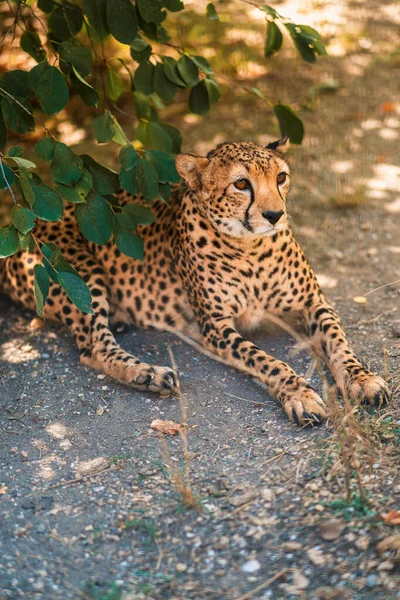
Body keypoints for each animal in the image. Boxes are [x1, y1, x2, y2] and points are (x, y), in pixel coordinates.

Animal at [0, 139, 390, 422]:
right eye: (241, 184)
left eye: (281, 177)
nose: (275, 214)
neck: (252, 247)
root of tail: (22, 222)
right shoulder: (214, 326)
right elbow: (266, 360)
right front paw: (299, 393)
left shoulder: (315, 302)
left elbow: (339, 344)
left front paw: (362, 379)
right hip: (78, 273)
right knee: (93, 347)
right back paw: (148, 374)